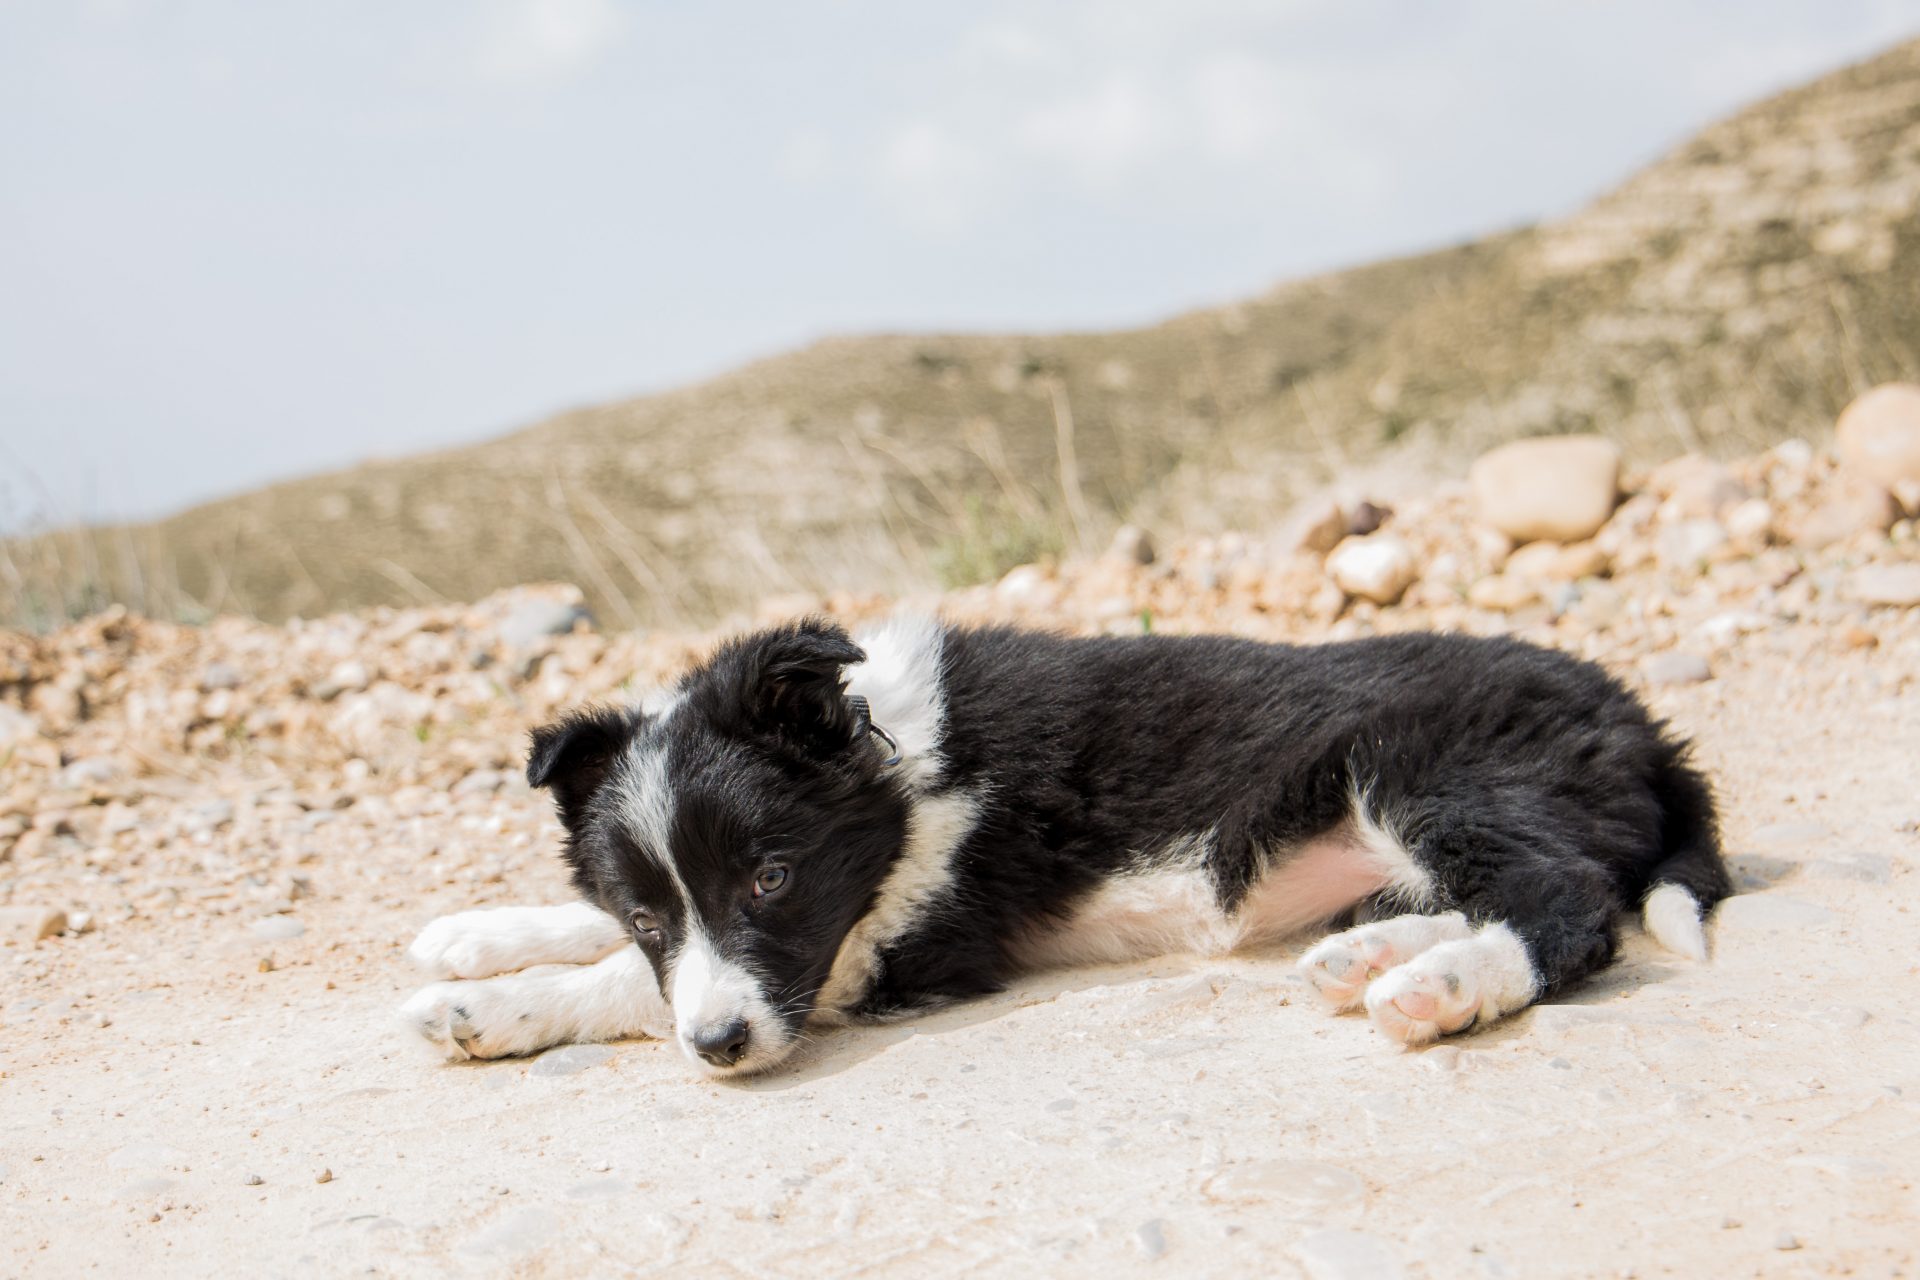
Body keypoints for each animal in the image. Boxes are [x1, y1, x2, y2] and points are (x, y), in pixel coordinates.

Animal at [397, 614, 1735, 1074]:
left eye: (771, 877)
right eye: (651, 909)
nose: (721, 1053)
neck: (895, 769)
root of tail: (1640, 721)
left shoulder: (905, 941)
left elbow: (633, 990)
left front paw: (494, 1011)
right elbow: (619, 951)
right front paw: (470, 936)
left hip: (1420, 770)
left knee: (1567, 899)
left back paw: (1443, 985)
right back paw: (1375, 956)